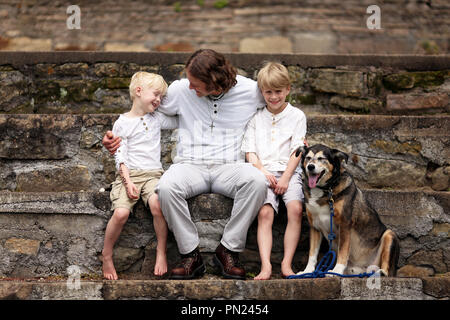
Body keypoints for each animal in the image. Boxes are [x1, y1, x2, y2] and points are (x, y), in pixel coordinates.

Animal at [298, 144, 400, 276]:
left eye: (321, 158)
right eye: (308, 158)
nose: (310, 167)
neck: (326, 190)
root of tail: (365, 268)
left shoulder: (345, 224)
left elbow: (343, 250)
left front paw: (336, 270)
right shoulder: (314, 226)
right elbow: (312, 254)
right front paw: (307, 271)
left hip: (389, 235)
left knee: (386, 269)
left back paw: (380, 272)